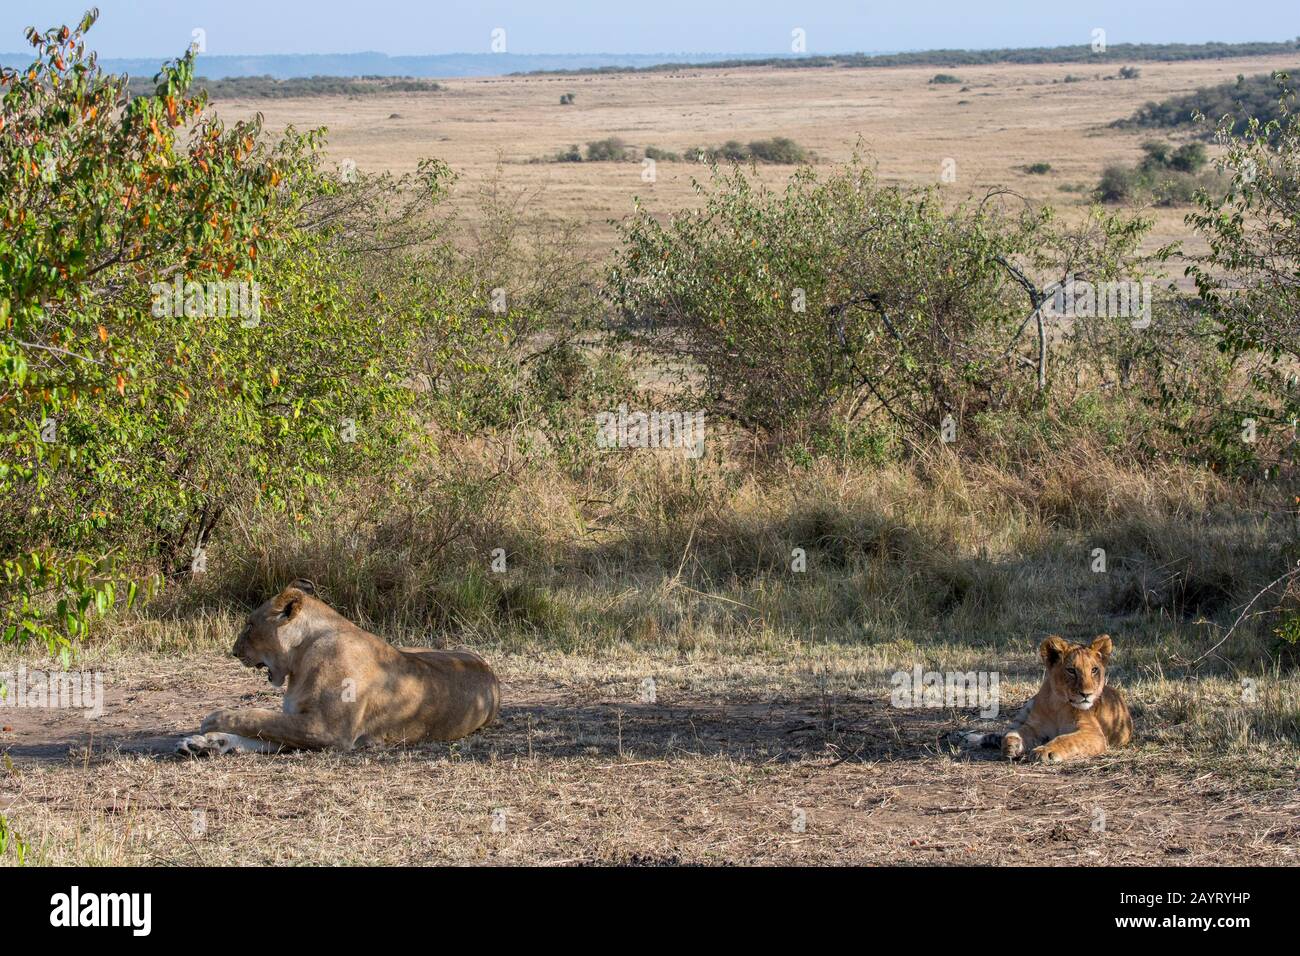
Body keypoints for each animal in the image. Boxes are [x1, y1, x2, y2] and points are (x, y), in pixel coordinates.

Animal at [177, 580, 500, 755]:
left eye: (249, 625)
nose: (234, 652)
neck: (302, 656)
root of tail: (488, 669)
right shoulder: (303, 727)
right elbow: (259, 731)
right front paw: (203, 743)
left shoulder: (326, 730)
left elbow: (257, 717)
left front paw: (213, 719)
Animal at [952, 634, 1133, 763]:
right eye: (1071, 670)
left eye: (1094, 670)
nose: (1086, 694)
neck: (1058, 704)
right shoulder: (1034, 726)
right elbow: (1017, 732)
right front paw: (1012, 745)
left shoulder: (1094, 734)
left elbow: (1067, 739)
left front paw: (1045, 751)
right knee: (1003, 732)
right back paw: (965, 738)